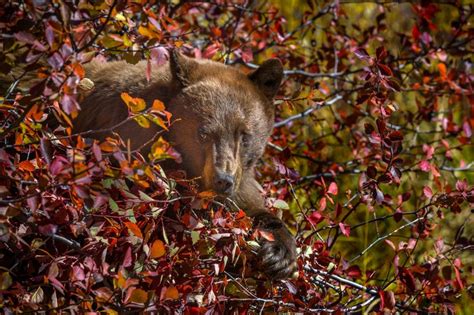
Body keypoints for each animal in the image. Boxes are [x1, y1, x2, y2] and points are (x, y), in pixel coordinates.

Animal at [73, 51, 296, 282]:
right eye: (203, 133)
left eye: (244, 136)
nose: (223, 180)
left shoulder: (241, 179)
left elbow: (249, 207)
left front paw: (279, 253)